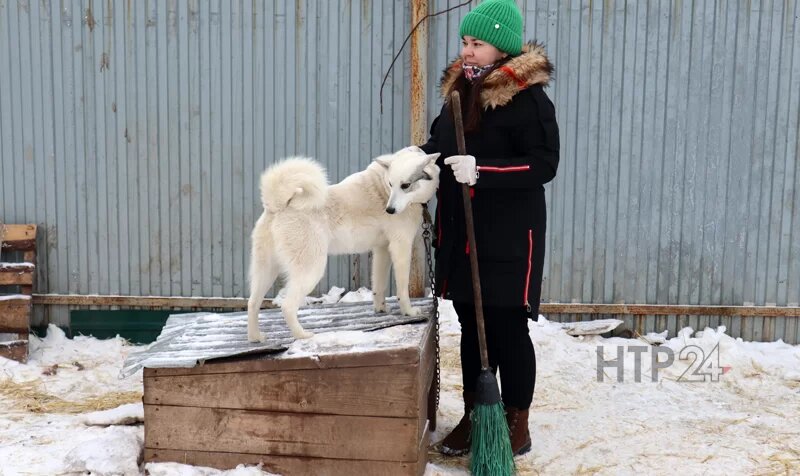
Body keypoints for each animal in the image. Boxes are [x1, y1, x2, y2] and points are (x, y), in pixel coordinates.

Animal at [247, 147, 440, 340]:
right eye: (392, 184)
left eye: (405, 185)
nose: (390, 210)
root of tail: (279, 205)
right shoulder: (401, 247)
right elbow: (402, 290)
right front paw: (409, 312)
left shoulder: (382, 250)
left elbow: (379, 286)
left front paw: (380, 309)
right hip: (312, 270)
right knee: (287, 306)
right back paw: (303, 335)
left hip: (266, 271)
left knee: (253, 302)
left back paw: (256, 337)